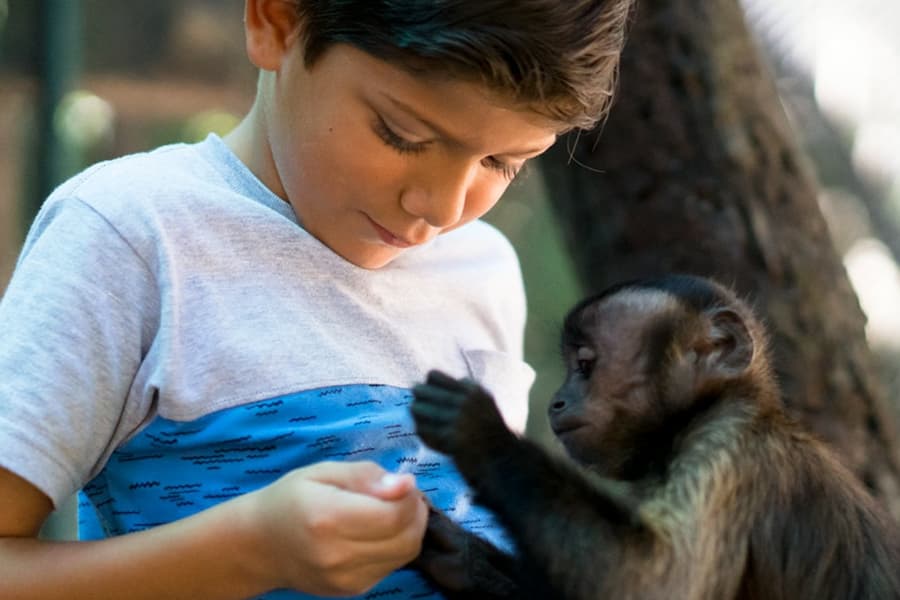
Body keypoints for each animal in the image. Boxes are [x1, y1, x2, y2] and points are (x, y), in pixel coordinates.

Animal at [410, 274, 900, 600]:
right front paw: (471, 564)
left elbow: (653, 582)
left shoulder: (724, 450)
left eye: (585, 365)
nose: (556, 401)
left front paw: (480, 432)